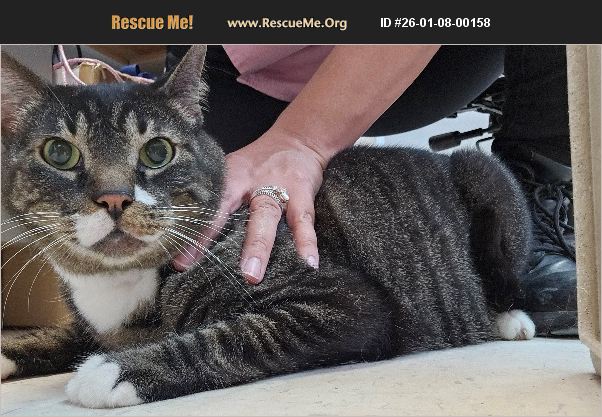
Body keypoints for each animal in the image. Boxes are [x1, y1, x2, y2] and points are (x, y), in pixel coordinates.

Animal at [0, 45, 535, 408]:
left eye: (157, 152)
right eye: (59, 153)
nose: (114, 198)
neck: (115, 282)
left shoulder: (346, 304)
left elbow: (236, 335)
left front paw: (111, 372)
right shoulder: (89, 325)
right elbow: (55, 336)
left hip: (486, 177)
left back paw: (510, 319)